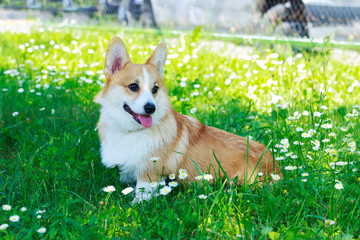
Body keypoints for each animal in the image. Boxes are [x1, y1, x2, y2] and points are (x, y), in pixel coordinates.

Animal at [94, 36, 278, 202]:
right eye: (133, 86)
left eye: (155, 89)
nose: (151, 108)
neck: (131, 131)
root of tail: (276, 167)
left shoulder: (149, 174)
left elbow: (140, 196)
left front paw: (134, 206)